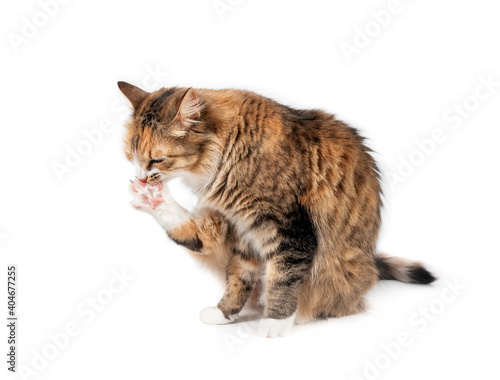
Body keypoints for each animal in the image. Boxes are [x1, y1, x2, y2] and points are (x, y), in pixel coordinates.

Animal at [119, 81, 436, 338]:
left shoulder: (289, 230)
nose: (141, 177)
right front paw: (225, 313)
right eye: (130, 157)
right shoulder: (239, 229)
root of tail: (371, 263)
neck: (230, 151)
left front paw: (276, 321)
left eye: (156, 160)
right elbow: (237, 277)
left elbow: (282, 278)